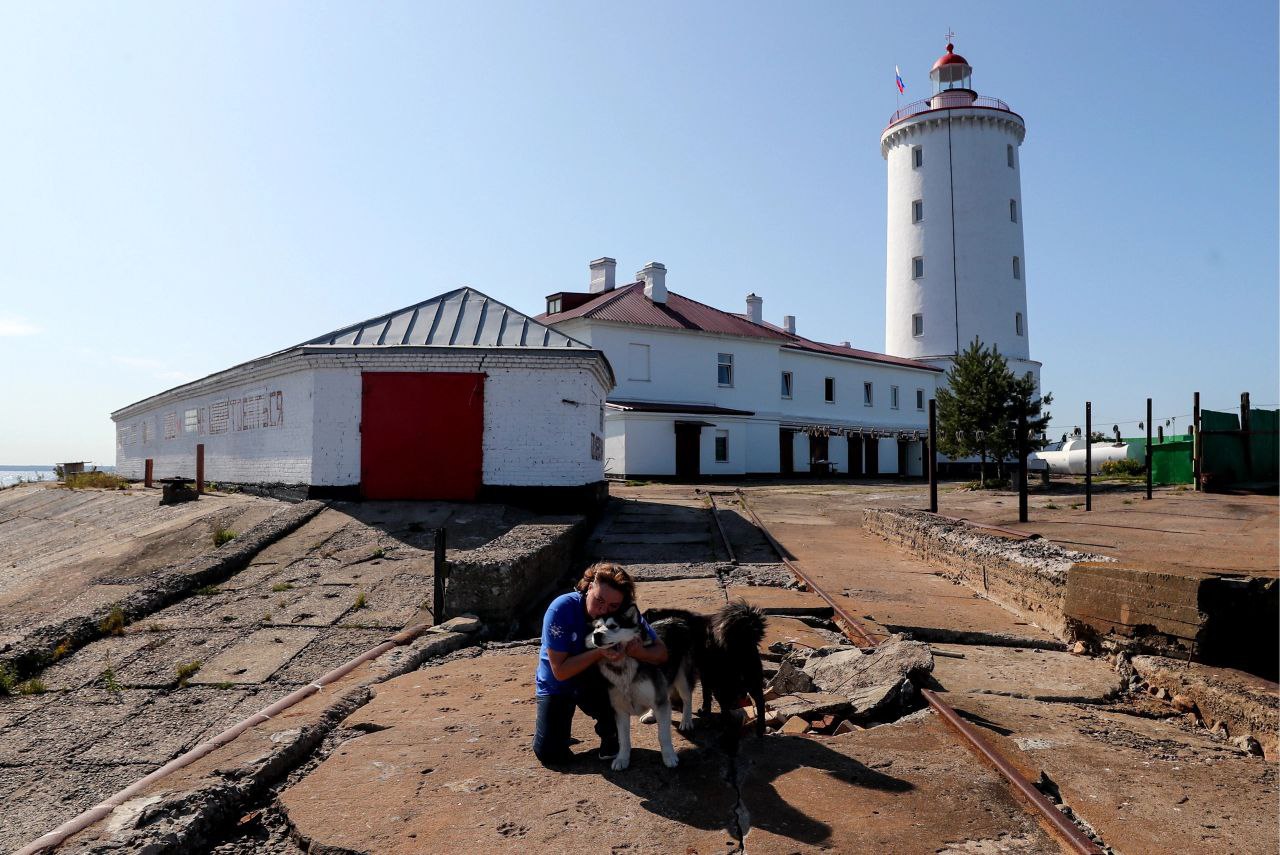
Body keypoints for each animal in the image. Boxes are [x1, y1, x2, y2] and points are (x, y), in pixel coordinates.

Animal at [645, 601, 762, 742]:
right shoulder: (703, 674)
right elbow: (705, 694)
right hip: (750, 676)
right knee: (758, 700)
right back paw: (760, 729)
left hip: (723, 682)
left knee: (730, 707)